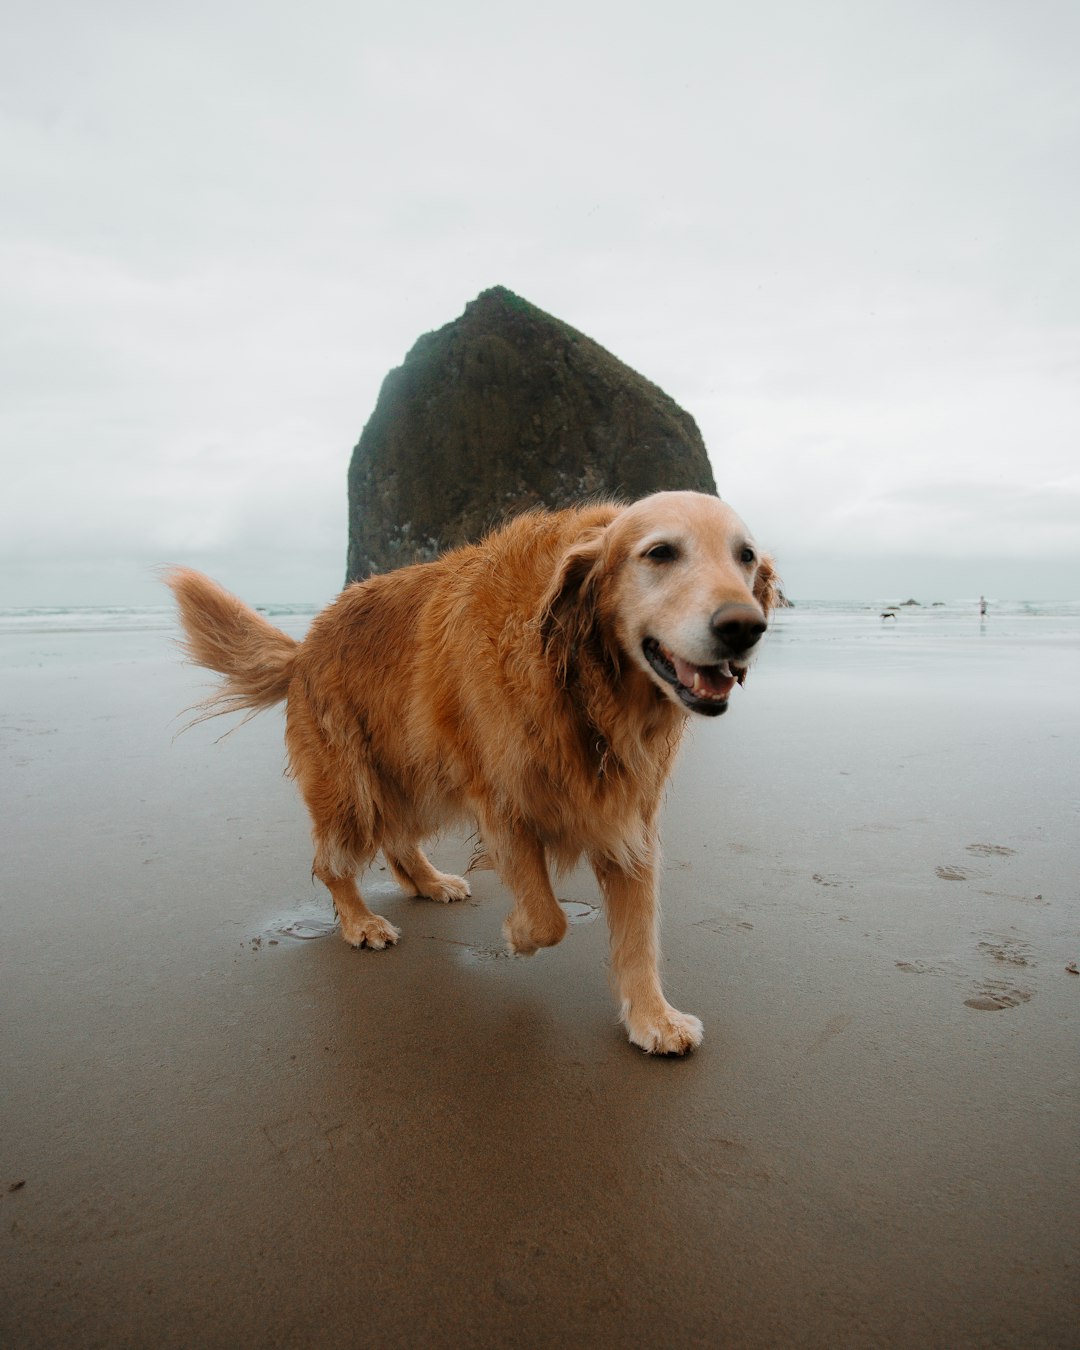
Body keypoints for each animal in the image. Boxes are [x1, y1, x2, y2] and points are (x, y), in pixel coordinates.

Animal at [166, 491, 777, 1047]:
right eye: (660, 552)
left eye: (745, 556)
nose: (744, 627)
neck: (582, 683)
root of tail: (305, 645)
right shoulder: (503, 802)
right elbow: (549, 917)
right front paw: (518, 937)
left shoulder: (628, 817)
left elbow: (639, 933)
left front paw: (653, 1018)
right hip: (354, 788)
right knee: (333, 861)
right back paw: (361, 922)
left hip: (420, 773)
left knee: (398, 841)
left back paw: (430, 882)